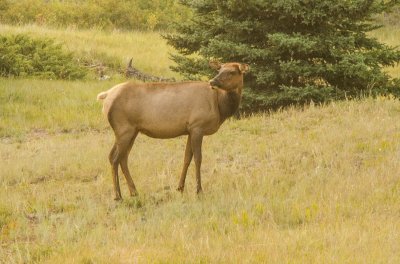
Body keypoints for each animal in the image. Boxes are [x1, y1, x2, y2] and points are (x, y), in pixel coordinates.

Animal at [97, 60, 248, 199]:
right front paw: (199, 190)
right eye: (219, 70)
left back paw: (134, 191)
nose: (213, 81)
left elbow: (187, 158)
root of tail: (106, 95)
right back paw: (118, 195)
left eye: (232, 72)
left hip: (132, 131)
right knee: (115, 158)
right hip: (124, 129)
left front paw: (180, 187)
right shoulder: (197, 126)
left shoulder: (190, 130)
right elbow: (198, 159)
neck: (220, 107)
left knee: (121, 158)